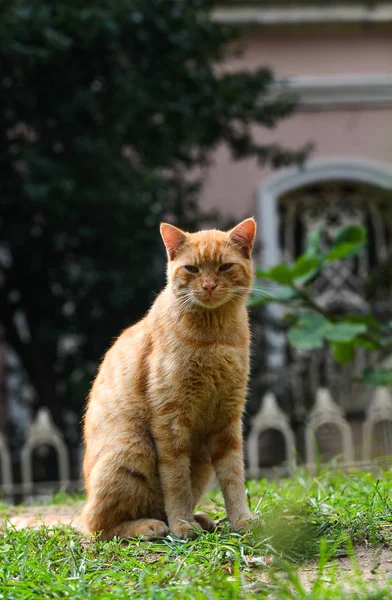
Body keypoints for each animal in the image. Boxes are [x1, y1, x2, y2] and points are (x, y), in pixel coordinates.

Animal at [7, 219, 258, 540]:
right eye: (192, 269)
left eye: (225, 267)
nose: (209, 286)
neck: (215, 337)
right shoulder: (170, 421)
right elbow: (176, 481)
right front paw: (182, 524)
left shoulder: (228, 419)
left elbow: (234, 476)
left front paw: (242, 520)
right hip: (133, 449)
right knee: (98, 526)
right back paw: (151, 526)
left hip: (199, 464)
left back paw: (198, 519)